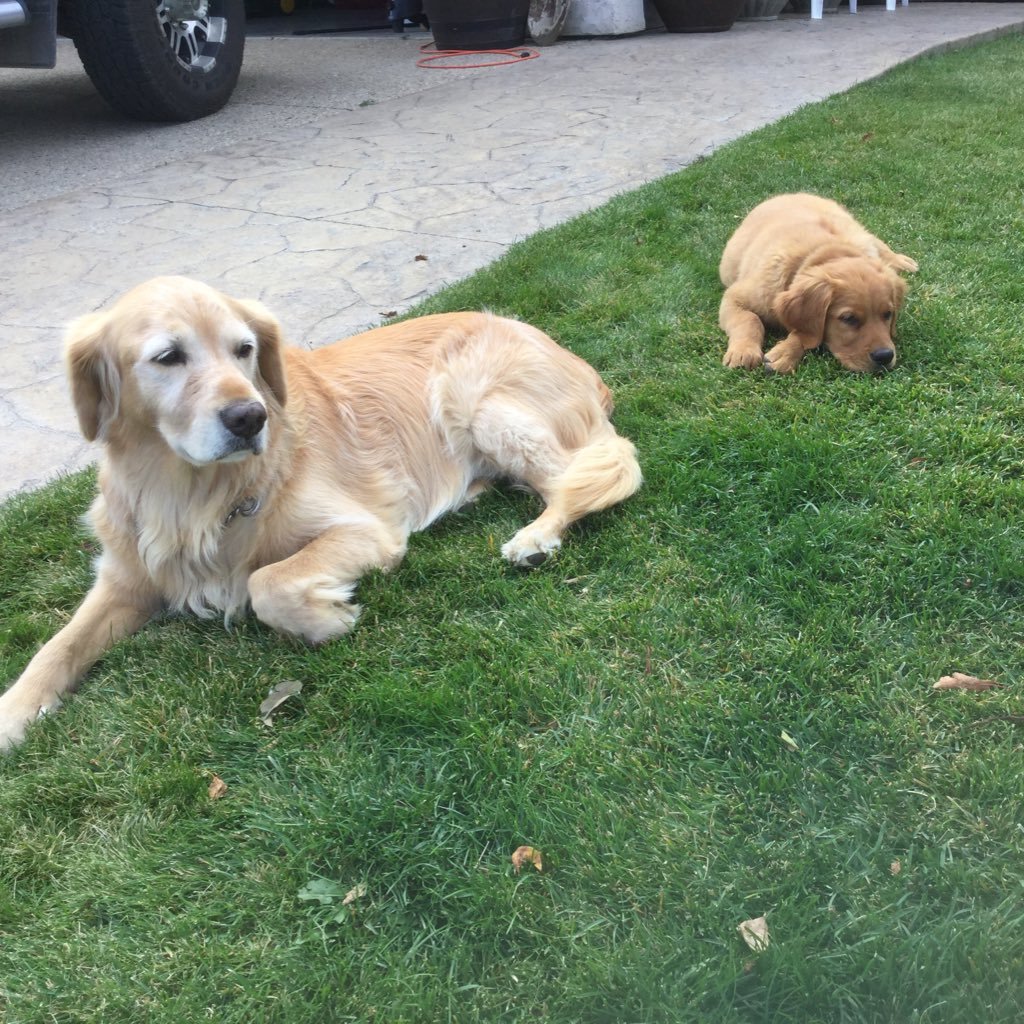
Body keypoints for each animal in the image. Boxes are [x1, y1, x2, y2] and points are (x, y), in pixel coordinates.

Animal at [0, 276, 638, 749]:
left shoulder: (368, 530)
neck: (190, 493)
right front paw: (13, 713)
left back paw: (535, 539)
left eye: (244, 350)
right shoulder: (128, 577)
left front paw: (327, 618)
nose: (250, 417)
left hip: (477, 401)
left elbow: (266, 581)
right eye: (167, 357)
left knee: (606, 471)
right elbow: (58, 646)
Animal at [716, 192, 917, 372]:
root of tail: (790, 194)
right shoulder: (736, 296)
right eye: (848, 318)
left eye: (888, 314)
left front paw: (785, 353)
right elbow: (750, 319)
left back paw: (901, 261)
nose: (885, 356)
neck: (825, 251)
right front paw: (743, 351)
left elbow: (804, 332)